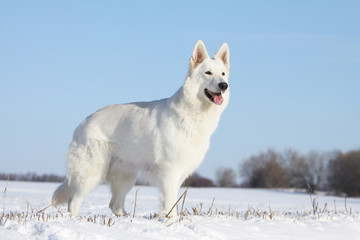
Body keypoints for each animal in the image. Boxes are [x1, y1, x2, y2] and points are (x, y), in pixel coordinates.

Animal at [51, 40, 229, 217]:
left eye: (223, 74)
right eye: (208, 73)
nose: (224, 85)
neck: (193, 112)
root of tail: (82, 123)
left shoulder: (178, 174)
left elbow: (173, 203)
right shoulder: (169, 172)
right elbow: (169, 204)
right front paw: (170, 220)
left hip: (125, 176)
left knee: (114, 204)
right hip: (91, 175)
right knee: (74, 202)